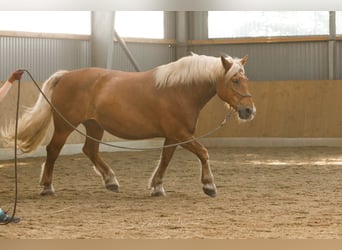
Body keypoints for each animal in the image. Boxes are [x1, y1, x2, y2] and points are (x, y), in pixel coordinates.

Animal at [2, 53, 254, 197]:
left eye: (246, 79)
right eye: (235, 80)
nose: (249, 111)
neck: (180, 89)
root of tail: (66, 76)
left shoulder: (174, 136)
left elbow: (165, 159)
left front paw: (157, 186)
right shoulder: (181, 134)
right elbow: (203, 153)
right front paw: (209, 185)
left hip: (94, 126)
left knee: (90, 150)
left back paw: (111, 181)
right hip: (66, 126)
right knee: (53, 150)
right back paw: (47, 186)